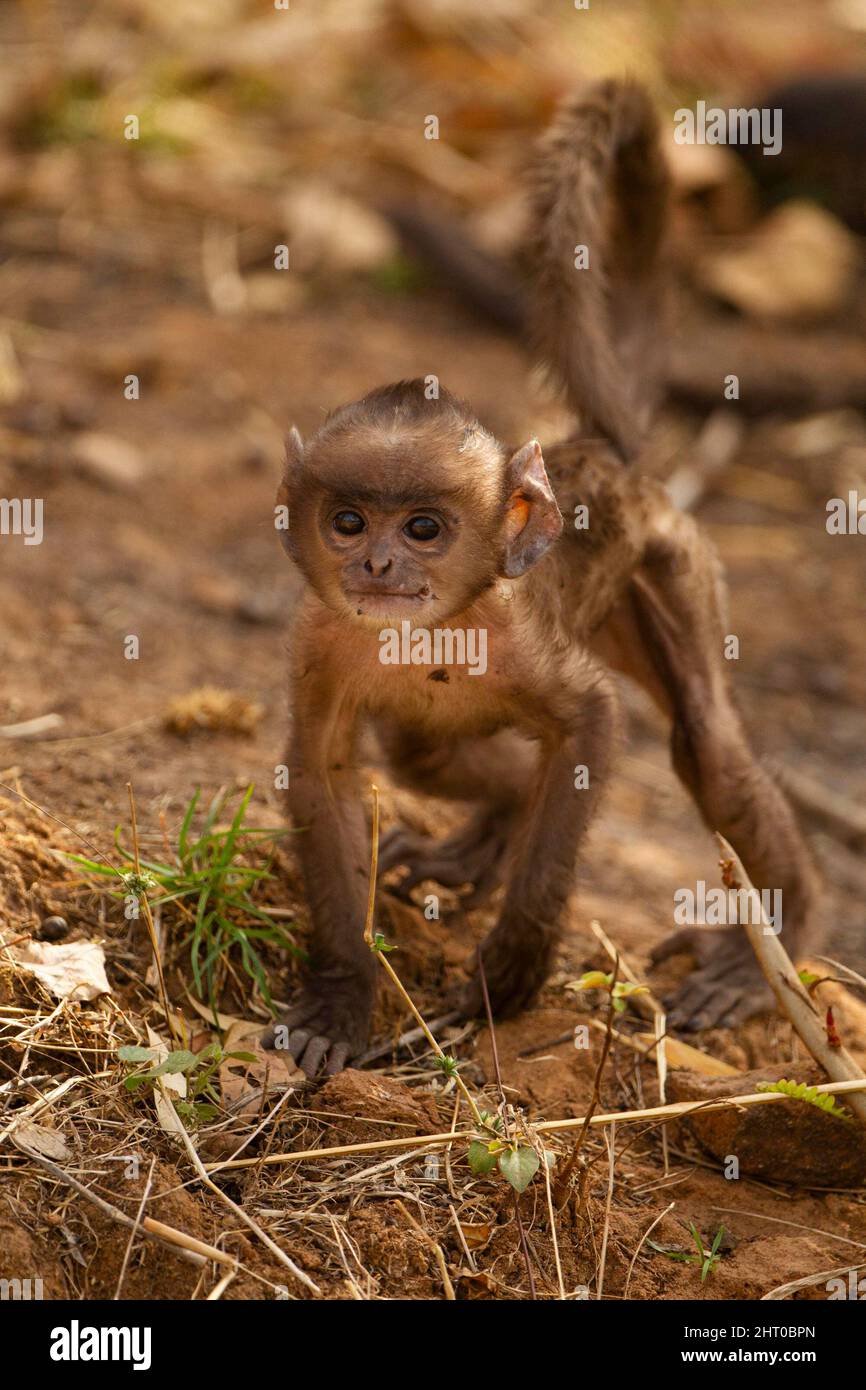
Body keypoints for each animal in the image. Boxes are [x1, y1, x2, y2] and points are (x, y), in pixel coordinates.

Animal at [265, 76, 817, 1078]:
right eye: (348, 521)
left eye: (425, 528)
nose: (376, 563)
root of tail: (597, 452)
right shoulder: (318, 640)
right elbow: (323, 771)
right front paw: (340, 995)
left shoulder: (530, 638)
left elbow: (590, 726)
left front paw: (511, 971)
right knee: (424, 748)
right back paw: (486, 837)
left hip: (667, 568)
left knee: (707, 745)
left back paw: (772, 950)